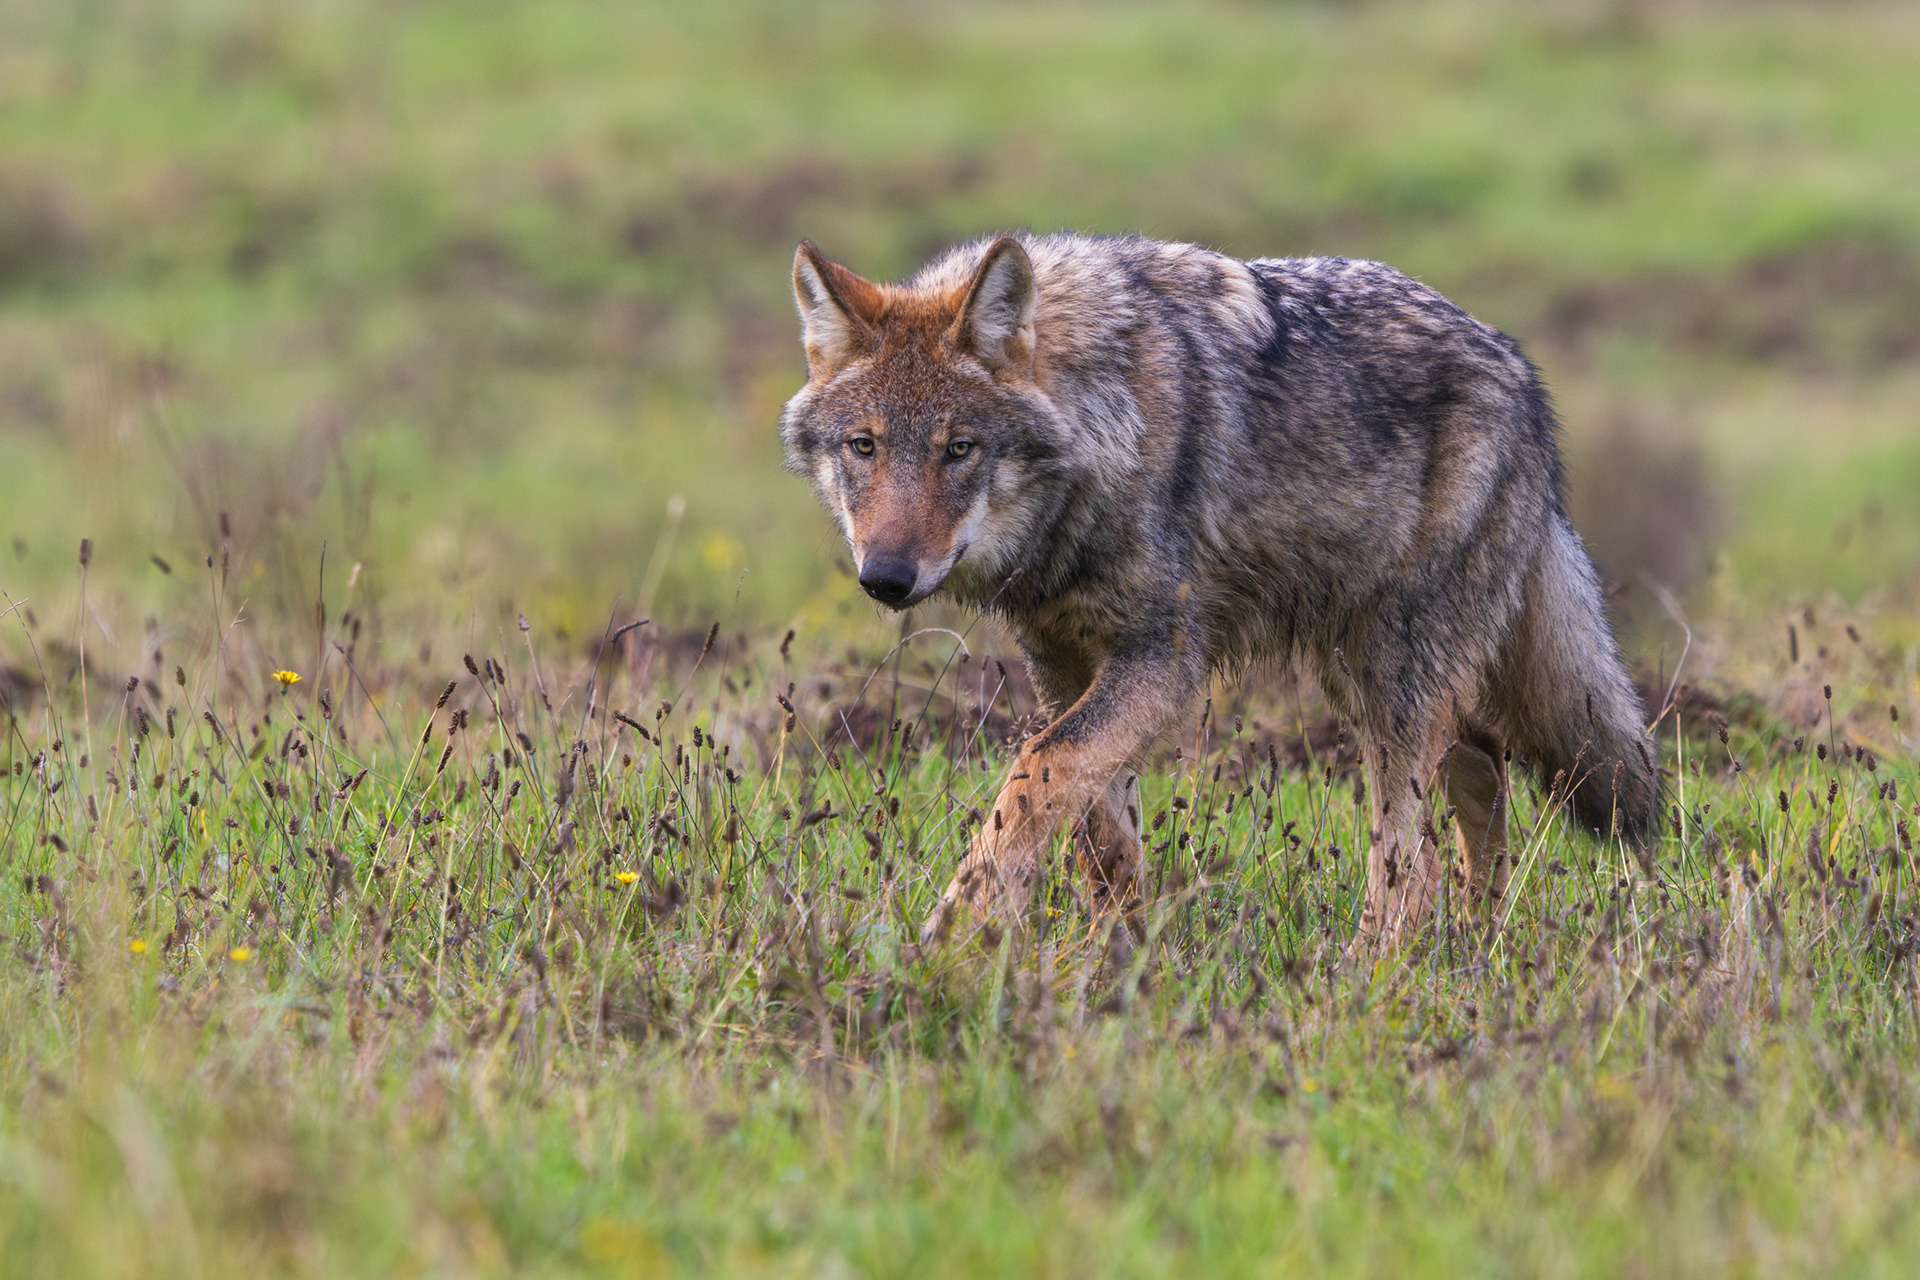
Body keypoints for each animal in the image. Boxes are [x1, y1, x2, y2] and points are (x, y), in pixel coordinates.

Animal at [779, 232, 1655, 951]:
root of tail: (1519, 369)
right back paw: (1478, 945)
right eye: (864, 446)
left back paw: (1369, 972)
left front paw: (960, 928)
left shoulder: (1164, 662)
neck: (1104, 423)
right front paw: (1120, 962)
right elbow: (1098, 830)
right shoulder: (1062, 662)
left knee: (1413, 860)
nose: (886, 578)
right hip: (1359, 673)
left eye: (958, 449)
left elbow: (1037, 771)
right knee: (1481, 764)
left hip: (1389, 680)